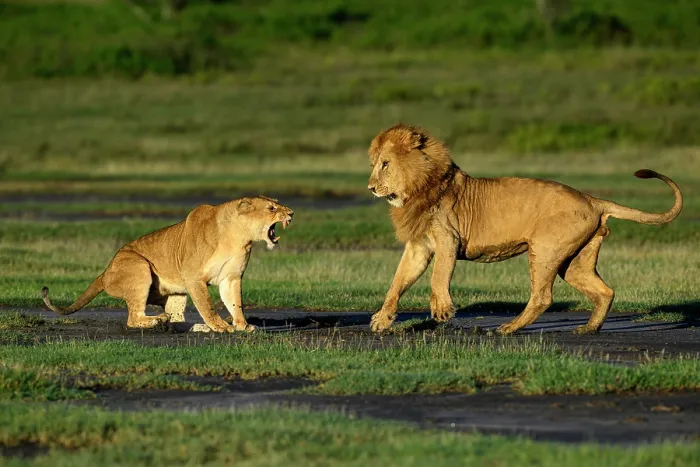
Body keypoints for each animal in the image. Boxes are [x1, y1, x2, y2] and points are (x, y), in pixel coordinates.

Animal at [42, 196, 294, 333]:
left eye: (278, 204)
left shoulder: (231, 277)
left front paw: (242, 326)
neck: (238, 237)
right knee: (133, 319)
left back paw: (192, 326)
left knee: (177, 320)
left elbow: (236, 303)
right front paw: (222, 326)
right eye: (272, 208)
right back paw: (159, 320)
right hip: (138, 267)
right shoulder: (193, 277)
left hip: (176, 295)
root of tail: (105, 272)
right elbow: (207, 306)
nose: (291, 213)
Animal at [367, 123, 682, 335]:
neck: (417, 189)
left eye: (385, 164)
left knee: (543, 297)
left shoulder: (448, 239)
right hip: (575, 262)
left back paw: (508, 328)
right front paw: (382, 320)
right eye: (375, 164)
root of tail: (592, 199)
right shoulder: (419, 246)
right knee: (605, 291)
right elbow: (398, 281)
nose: (370, 188)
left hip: (545, 250)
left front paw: (442, 310)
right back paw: (588, 329)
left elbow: (438, 275)